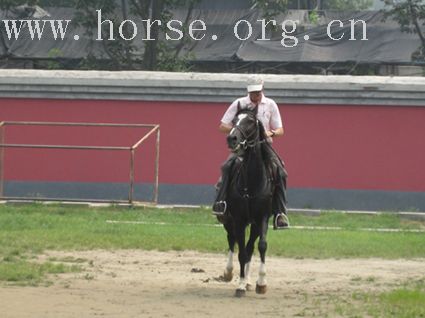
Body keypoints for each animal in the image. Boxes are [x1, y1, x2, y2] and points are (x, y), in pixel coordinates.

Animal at [217, 105, 274, 296]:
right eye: (234, 120)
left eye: (250, 121)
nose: (232, 138)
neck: (252, 182)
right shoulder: (239, 219)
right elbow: (240, 251)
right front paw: (240, 285)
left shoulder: (262, 218)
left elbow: (260, 246)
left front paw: (261, 283)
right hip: (228, 220)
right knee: (231, 240)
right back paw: (228, 272)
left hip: (254, 224)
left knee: (250, 248)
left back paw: (250, 281)